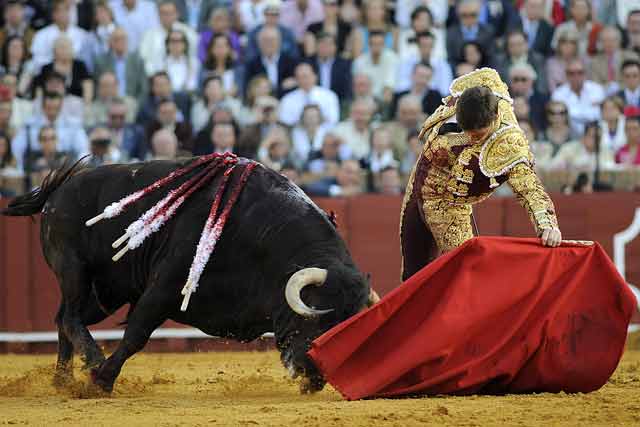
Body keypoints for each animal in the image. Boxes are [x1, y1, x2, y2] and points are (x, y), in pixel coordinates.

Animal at [1, 160, 370, 394]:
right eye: (317, 318)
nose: (316, 376)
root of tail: (58, 191)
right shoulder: (164, 287)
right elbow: (136, 335)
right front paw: (102, 380)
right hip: (74, 269)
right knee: (70, 316)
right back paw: (91, 362)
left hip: (108, 291)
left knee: (64, 319)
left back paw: (62, 380)